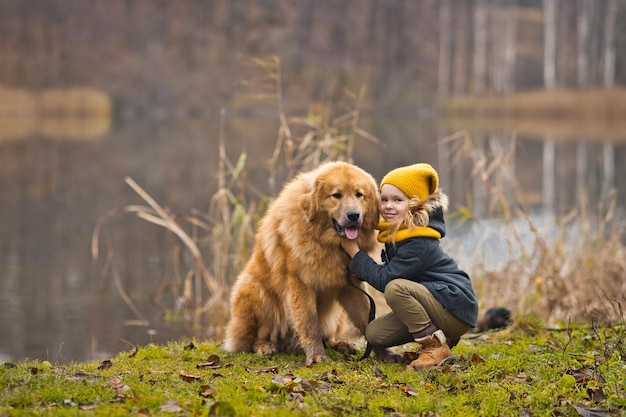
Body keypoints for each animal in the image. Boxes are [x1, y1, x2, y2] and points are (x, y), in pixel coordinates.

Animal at [224, 161, 380, 362]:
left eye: (359, 194)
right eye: (336, 195)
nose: (353, 215)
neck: (325, 242)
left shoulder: (351, 285)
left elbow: (367, 318)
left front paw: (387, 353)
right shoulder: (301, 283)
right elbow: (309, 323)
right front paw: (316, 356)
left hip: (337, 315)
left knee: (328, 337)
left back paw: (340, 344)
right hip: (257, 292)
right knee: (254, 337)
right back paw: (264, 346)